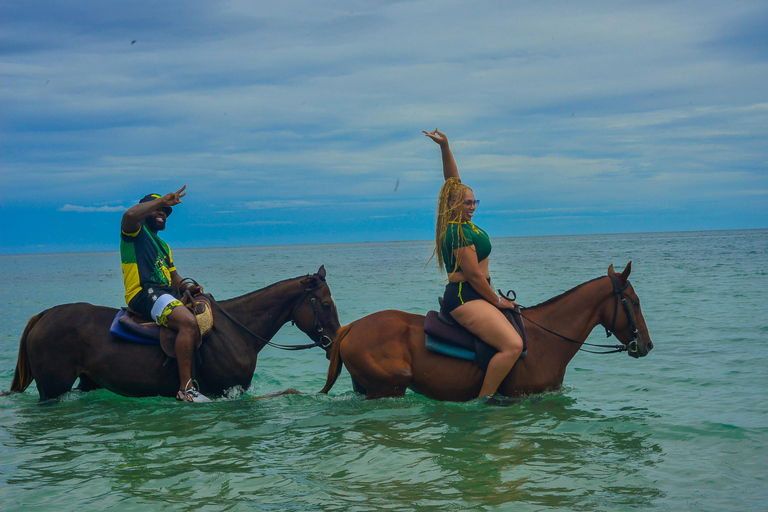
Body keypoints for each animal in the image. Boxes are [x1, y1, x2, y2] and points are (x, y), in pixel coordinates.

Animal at [9, 266, 340, 402]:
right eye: (325, 304)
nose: (334, 341)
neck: (237, 330)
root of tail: (44, 316)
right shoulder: (226, 393)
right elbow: (289, 392)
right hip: (52, 388)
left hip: (86, 381)